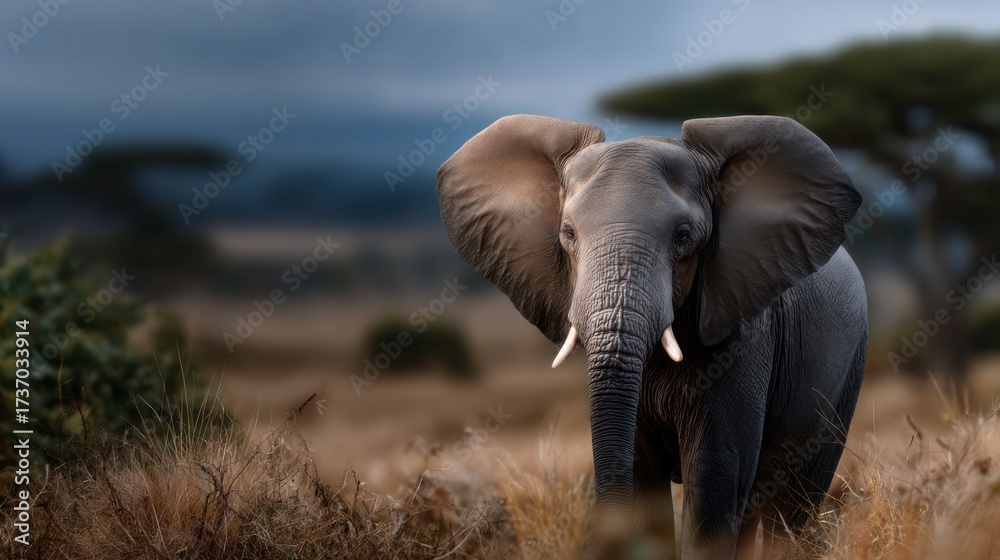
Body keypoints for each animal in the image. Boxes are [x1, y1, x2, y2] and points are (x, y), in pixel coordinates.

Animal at [435, 114, 867, 559]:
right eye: (568, 233)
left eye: (683, 236)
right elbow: (642, 476)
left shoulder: (744, 338)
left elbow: (715, 472)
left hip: (847, 371)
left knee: (792, 505)